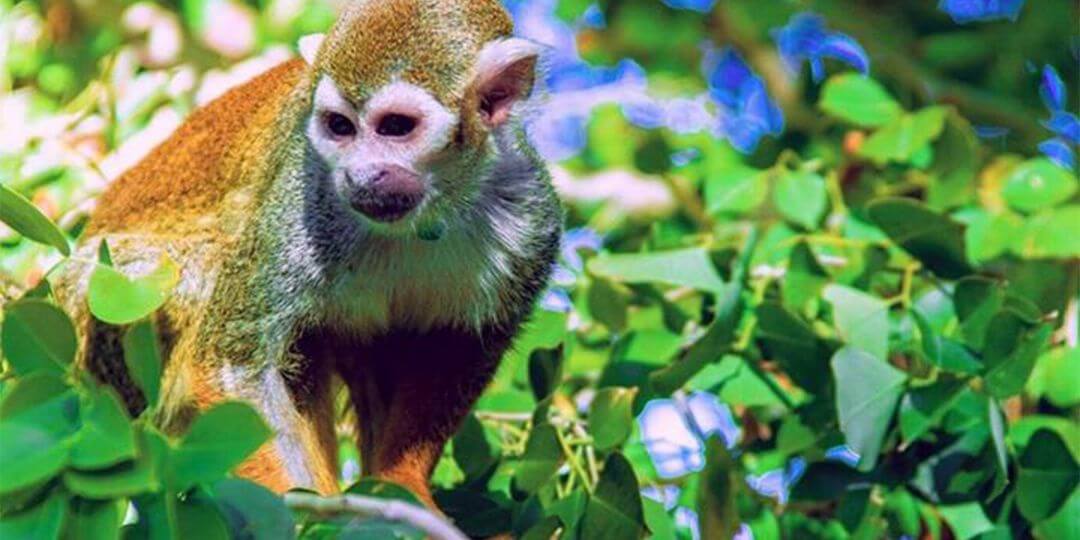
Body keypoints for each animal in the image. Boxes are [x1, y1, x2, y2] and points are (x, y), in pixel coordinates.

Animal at [51, 0, 561, 508]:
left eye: (396, 127)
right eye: (340, 126)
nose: (359, 176)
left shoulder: (530, 218)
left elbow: (458, 346)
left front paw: (401, 484)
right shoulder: (307, 193)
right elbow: (234, 364)